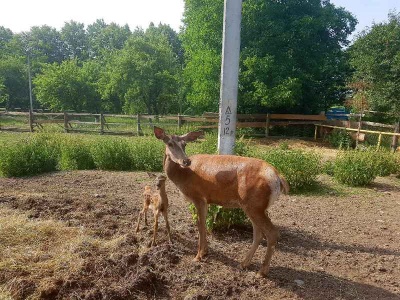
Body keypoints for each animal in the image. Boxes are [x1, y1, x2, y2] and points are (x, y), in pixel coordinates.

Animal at [155, 126, 290, 276]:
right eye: (169, 144)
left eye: (185, 144)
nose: (186, 161)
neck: (183, 176)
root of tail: (278, 178)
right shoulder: (205, 201)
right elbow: (201, 225)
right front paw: (205, 252)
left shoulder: (199, 197)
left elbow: (201, 226)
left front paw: (198, 256)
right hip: (254, 206)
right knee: (259, 233)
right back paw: (244, 263)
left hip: (254, 205)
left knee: (272, 232)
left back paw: (262, 271)